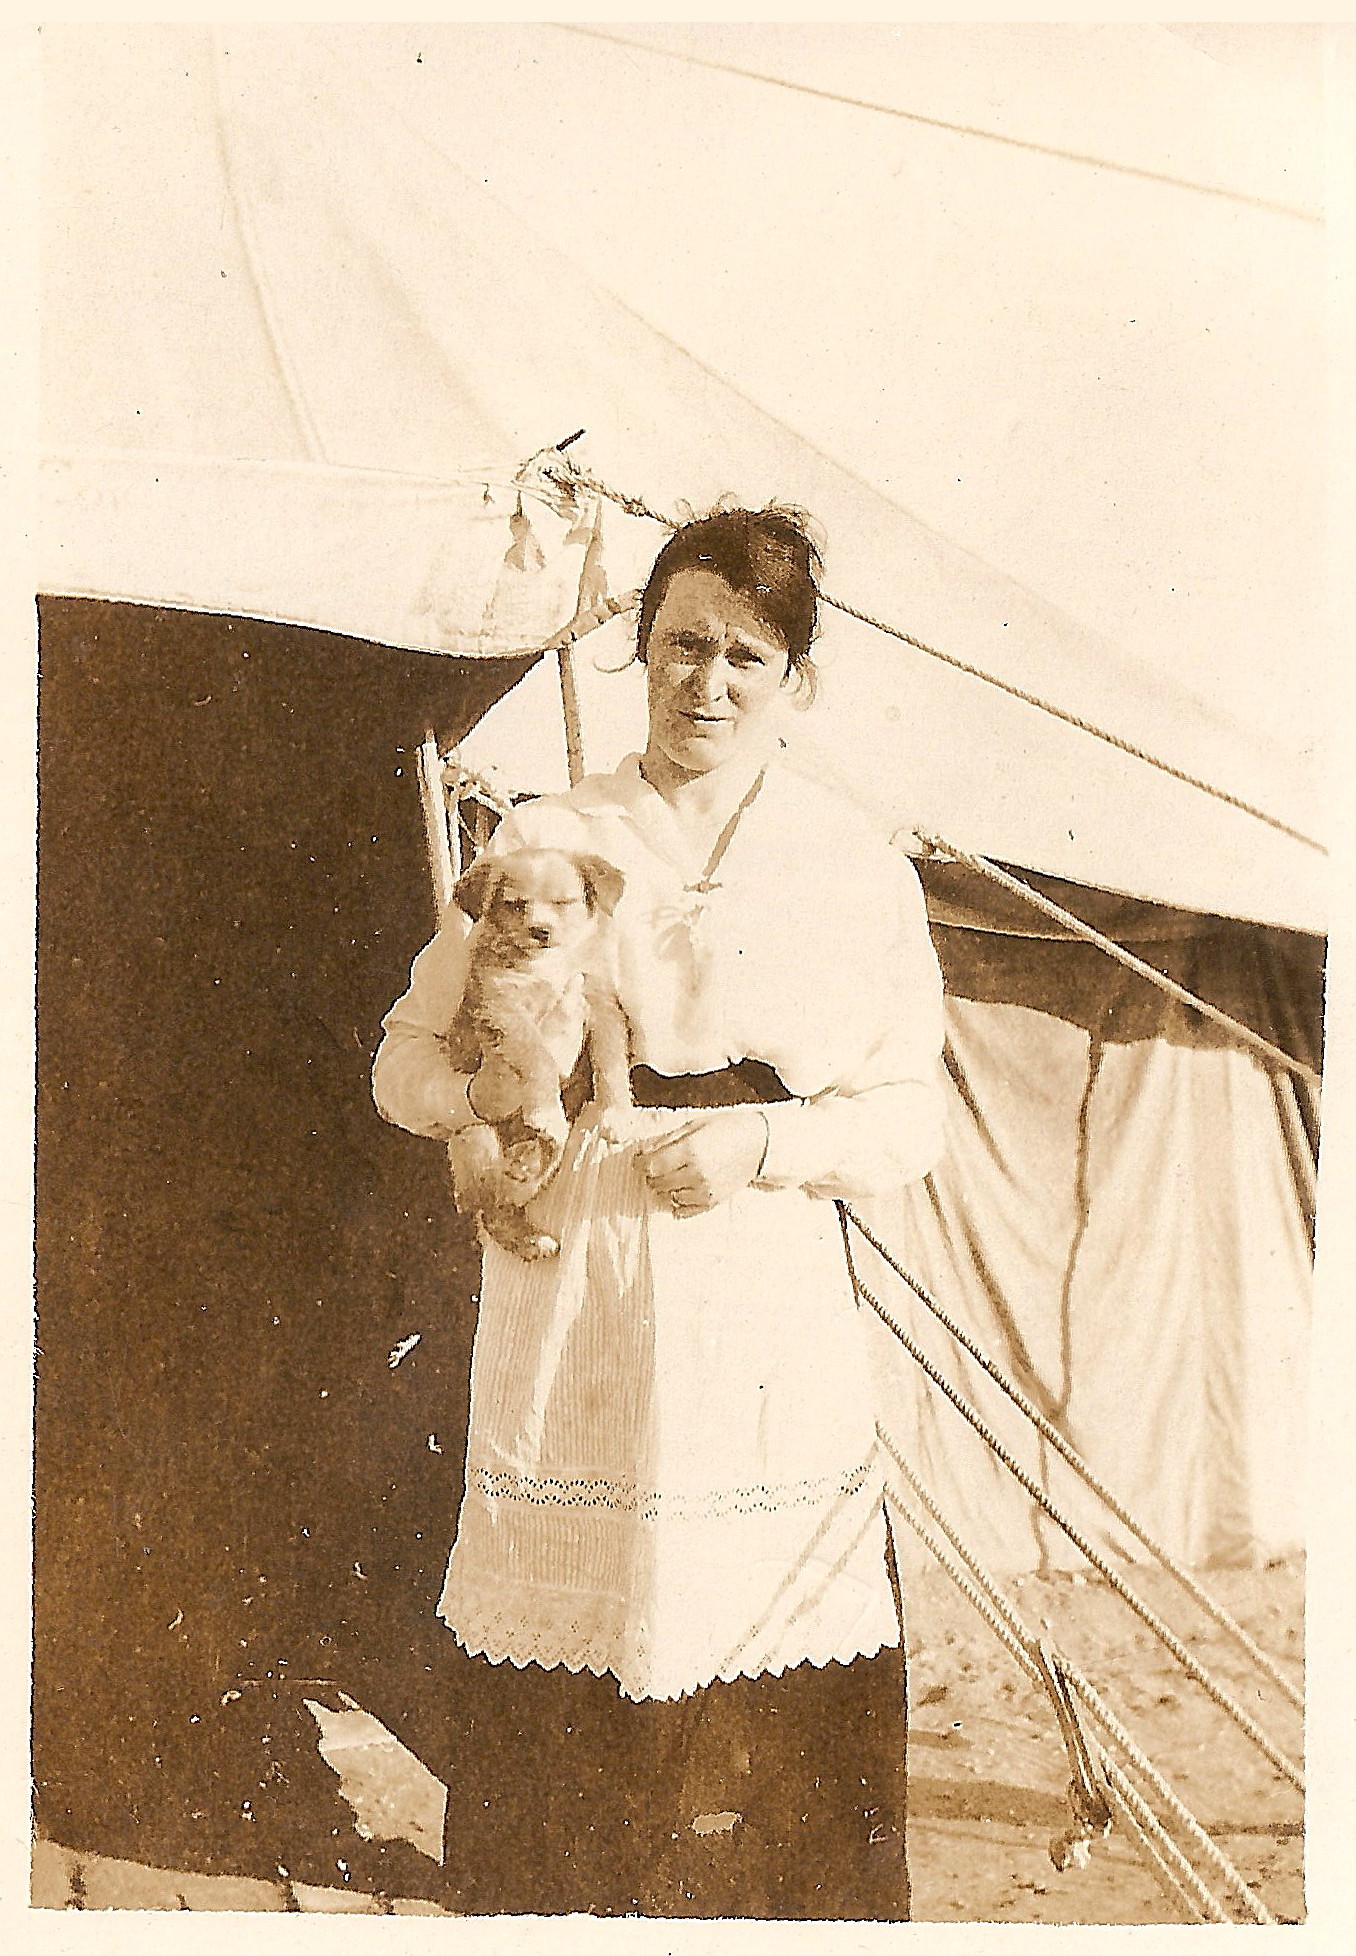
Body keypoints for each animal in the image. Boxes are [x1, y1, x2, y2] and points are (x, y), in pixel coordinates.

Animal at [444, 848, 633, 1259]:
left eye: (563, 903)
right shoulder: (506, 1010)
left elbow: (612, 1064)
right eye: (515, 905)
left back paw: (528, 1162)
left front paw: (617, 1113)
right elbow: (540, 1061)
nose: (540, 931)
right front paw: (545, 1109)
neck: (547, 966)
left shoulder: (600, 1003)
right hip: (475, 1139)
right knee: (492, 1208)